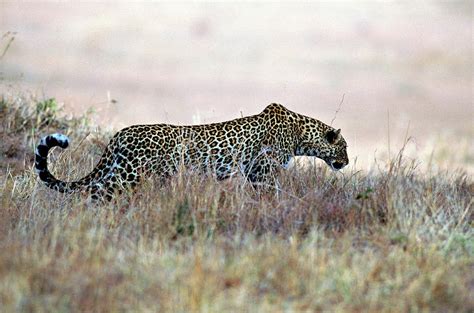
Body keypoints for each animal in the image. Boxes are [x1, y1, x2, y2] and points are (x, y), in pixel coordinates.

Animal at [35, 103, 348, 199]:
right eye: (344, 147)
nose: (345, 162)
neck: (300, 135)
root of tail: (119, 135)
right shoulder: (262, 171)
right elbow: (272, 192)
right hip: (128, 173)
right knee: (97, 191)